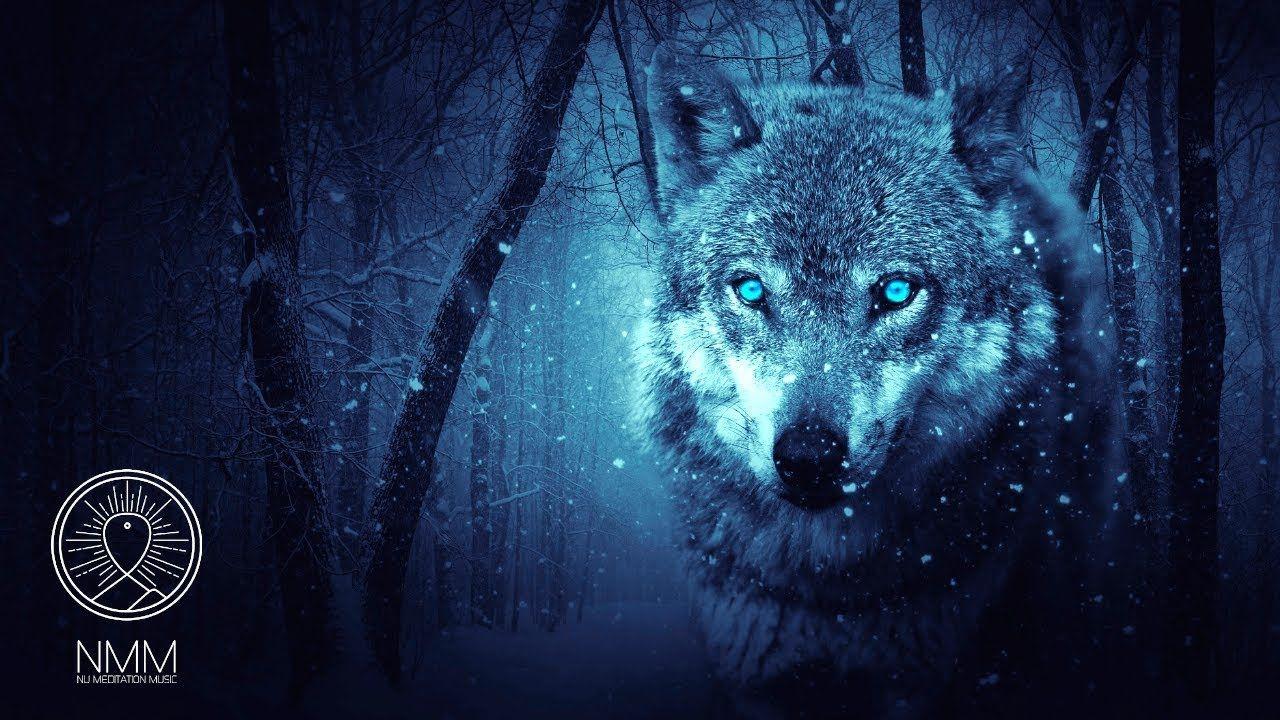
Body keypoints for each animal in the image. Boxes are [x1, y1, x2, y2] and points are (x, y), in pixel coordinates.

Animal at [637, 48, 1119, 717]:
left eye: (895, 291)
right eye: (751, 290)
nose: (809, 457)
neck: (829, 592)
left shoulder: (915, 679)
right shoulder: (754, 678)